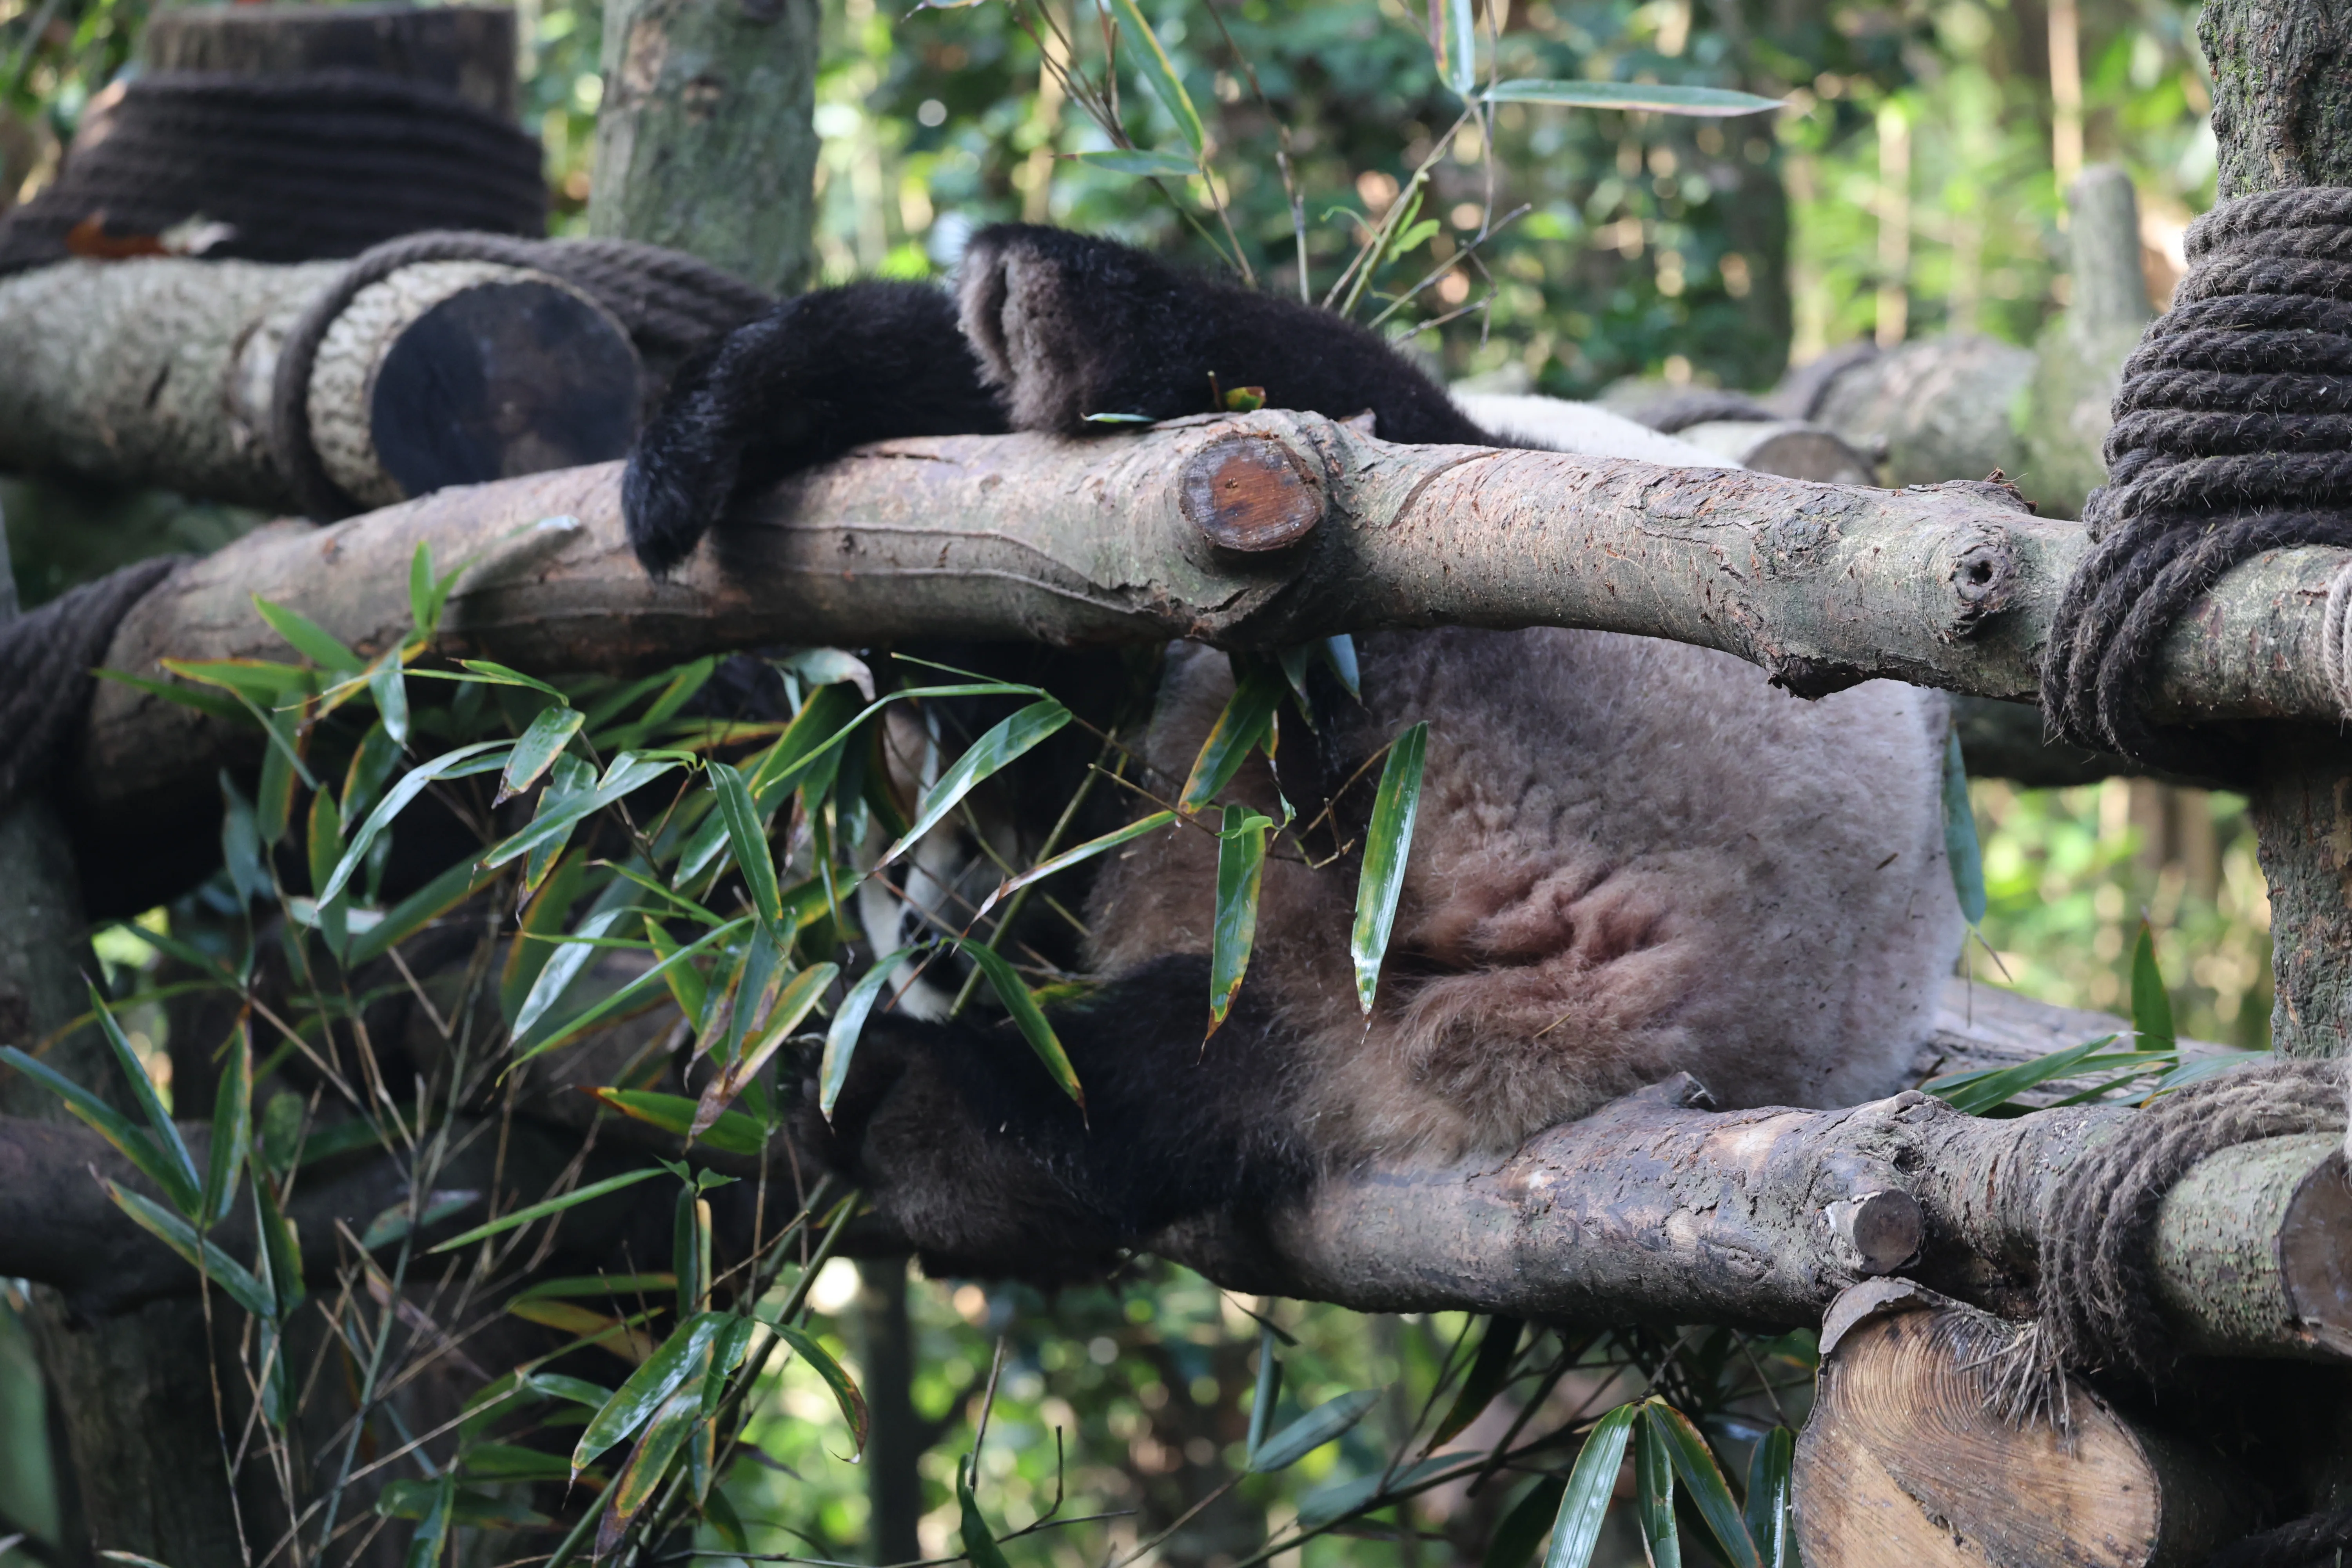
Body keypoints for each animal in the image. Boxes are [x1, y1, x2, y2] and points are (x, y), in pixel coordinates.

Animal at [622, 223, 1965, 1285]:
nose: (932, 929)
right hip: (1316, 988)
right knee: (1130, 1097)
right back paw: (895, 1101)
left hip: (1543, 655)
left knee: (1310, 415)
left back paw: (1045, 293)